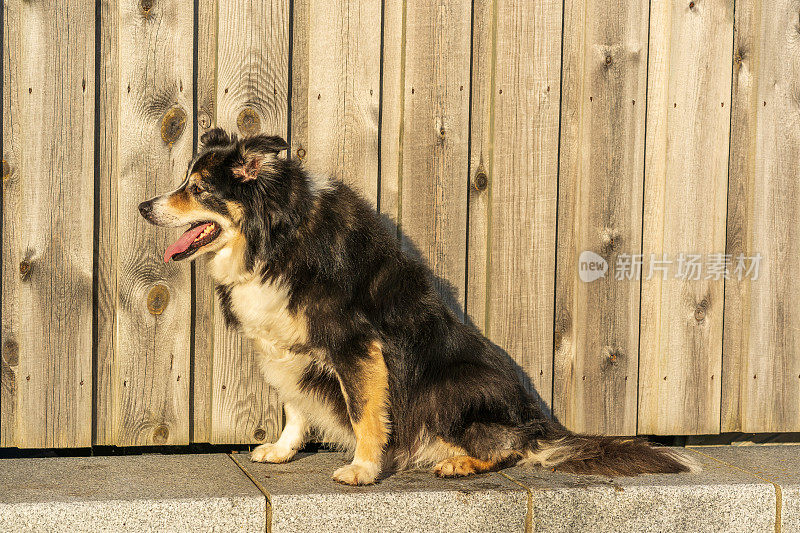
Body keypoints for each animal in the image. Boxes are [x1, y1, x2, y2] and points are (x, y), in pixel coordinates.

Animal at [141, 128, 696, 482]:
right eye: (184, 183)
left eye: (197, 189)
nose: (145, 206)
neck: (276, 237)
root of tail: (542, 425)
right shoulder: (285, 348)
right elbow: (295, 403)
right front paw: (282, 449)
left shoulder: (356, 344)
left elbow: (365, 412)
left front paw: (363, 469)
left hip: (453, 387)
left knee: (512, 447)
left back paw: (458, 461)